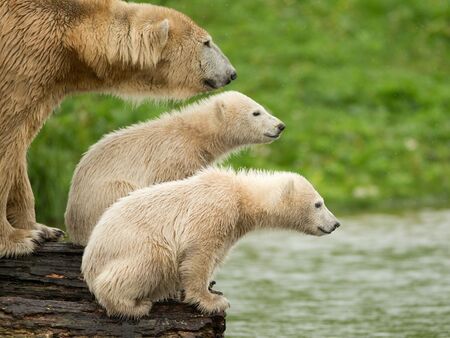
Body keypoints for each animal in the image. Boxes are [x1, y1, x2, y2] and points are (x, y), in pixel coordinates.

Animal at [0, 0, 237, 256]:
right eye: (207, 42)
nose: (232, 73)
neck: (71, 39)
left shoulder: (44, 79)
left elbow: (19, 144)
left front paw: (40, 229)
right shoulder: (22, 57)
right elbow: (8, 136)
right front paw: (17, 240)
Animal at [81, 168, 342, 318]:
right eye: (318, 204)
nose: (336, 223)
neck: (240, 195)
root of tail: (90, 256)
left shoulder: (231, 226)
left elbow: (215, 255)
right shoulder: (214, 209)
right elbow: (199, 254)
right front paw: (213, 301)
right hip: (134, 243)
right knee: (149, 261)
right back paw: (133, 307)